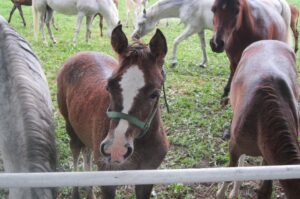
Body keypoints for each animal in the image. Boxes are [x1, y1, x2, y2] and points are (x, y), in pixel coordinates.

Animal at [56, 25, 169, 199]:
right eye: (109, 86)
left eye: (154, 94)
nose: (116, 149)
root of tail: (81, 53)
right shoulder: (108, 179)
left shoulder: (147, 177)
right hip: (71, 127)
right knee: (75, 150)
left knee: (87, 152)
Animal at [216, 39, 300, 198]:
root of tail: (268, 41)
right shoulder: (234, 147)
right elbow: (231, 171)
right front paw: (223, 192)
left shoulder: (269, 158)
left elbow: (265, 189)